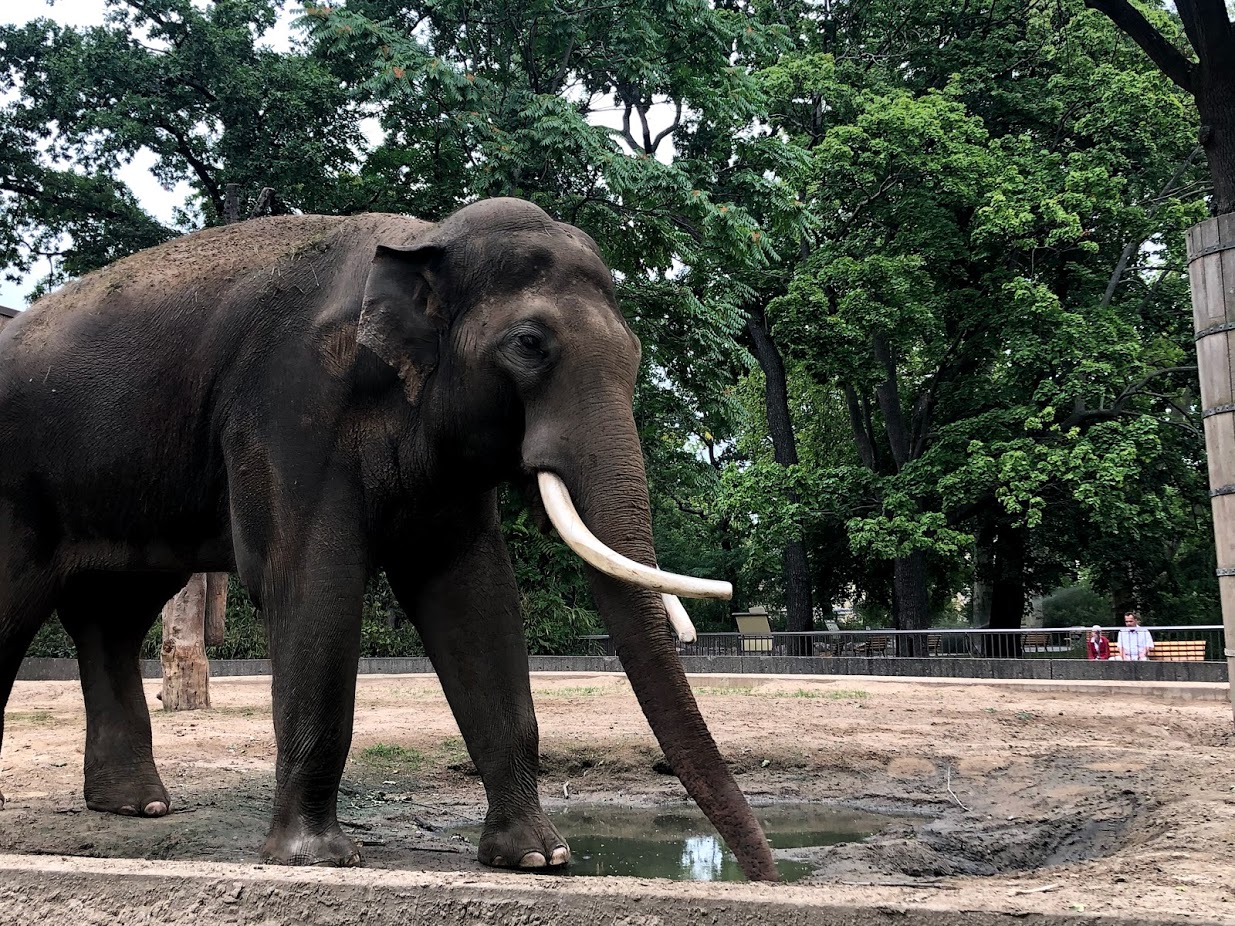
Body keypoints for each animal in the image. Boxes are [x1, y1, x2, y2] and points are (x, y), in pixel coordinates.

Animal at [0, 197, 778, 880]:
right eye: (529, 345)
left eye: (637, 352)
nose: (767, 876)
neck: (419, 240)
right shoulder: (289, 408)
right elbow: (309, 581)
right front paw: (316, 860)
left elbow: (474, 595)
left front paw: (538, 857)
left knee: (110, 614)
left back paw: (139, 808)